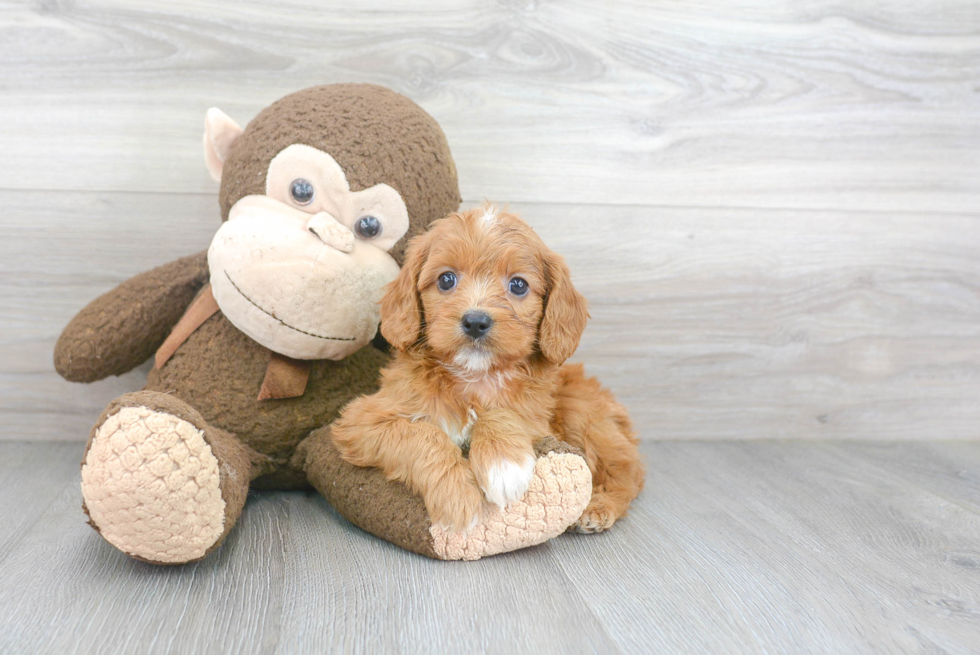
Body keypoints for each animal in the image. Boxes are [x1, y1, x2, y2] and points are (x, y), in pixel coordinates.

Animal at [334, 205, 648, 532]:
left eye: (518, 285)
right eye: (446, 280)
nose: (475, 321)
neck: (475, 376)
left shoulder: (536, 419)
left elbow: (502, 413)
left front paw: (503, 464)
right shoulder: (361, 420)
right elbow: (422, 435)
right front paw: (456, 495)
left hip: (582, 411)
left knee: (628, 470)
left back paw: (599, 506)